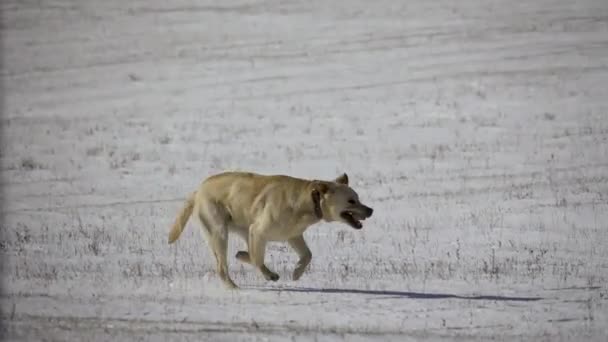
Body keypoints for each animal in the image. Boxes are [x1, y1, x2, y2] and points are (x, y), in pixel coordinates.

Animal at [169, 171, 372, 288]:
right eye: (351, 201)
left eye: (358, 198)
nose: (371, 210)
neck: (307, 201)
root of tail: (198, 190)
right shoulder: (258, 231)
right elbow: (258, 260)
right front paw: (270, 275)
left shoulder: (292, 235)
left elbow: (307, 255)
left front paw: (297, 272)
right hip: (219, 232)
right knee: (222, 267)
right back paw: (234, 287)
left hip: (243, 229)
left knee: (244, 254)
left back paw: (241, 256)